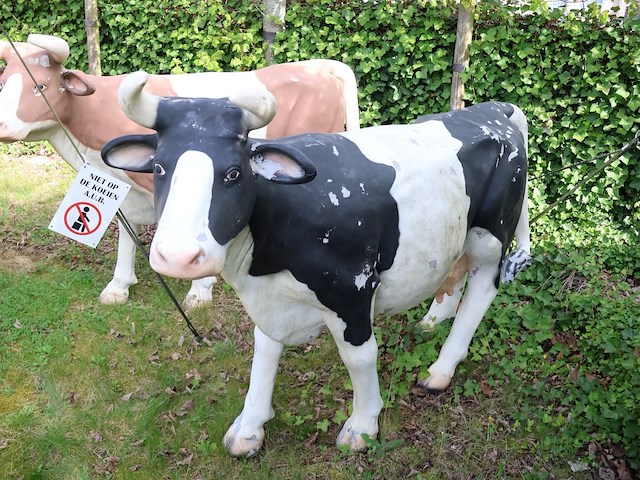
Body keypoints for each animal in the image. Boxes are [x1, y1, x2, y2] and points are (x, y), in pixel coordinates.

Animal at [0, 34, 359, 307]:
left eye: (41, 86)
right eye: (3, 83)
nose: (2, 126)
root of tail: (318, 66)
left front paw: (200, 290)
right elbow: (127, 232)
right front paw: (119, 286)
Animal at [101, 71, 532, 457]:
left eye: (234, 173)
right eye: (159, 168)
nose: (177, 256)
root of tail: (497, 108)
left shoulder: (353, 289)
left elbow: (360, 357)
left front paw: (362, 426)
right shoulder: (272, 297)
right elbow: (265, 348)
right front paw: (250, 427)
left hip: (492, 232)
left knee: (484, 286)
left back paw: (441, 369)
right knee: (456, 270)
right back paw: (433, 320)